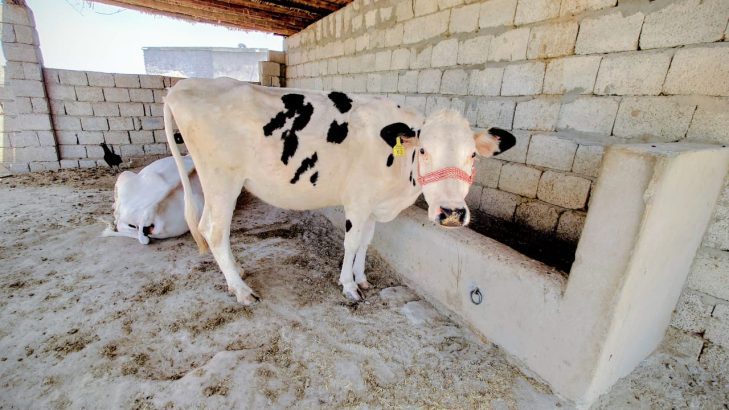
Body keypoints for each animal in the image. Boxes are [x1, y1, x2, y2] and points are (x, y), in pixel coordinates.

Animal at [163, 78, 515, 305]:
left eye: (472, 155)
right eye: (425, 150)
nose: (452, 213)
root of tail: (182, 86)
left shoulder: (373, 204)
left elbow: (366, 242)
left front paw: (361, 277)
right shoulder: (357, 202)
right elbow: (351, 242)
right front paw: (348, 286)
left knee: (210, 229)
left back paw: (236, 272)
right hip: (222, 180)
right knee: (214, 230)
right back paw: (240, 290)